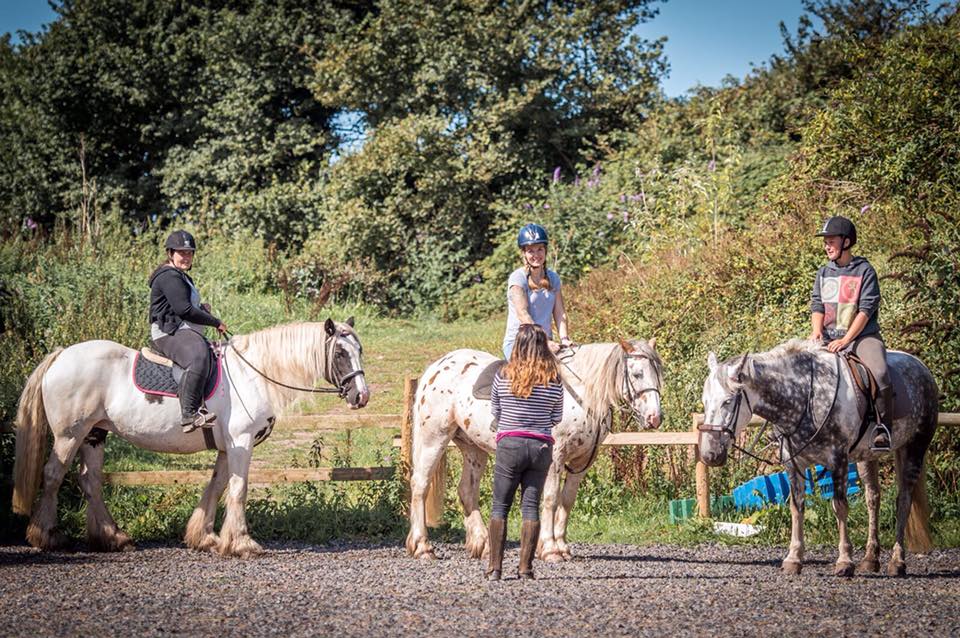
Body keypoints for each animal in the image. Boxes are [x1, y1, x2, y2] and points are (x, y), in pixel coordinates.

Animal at [13, 320, 370, 560]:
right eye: (340, 353)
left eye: (360, 350)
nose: (361, 396)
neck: (253, 374)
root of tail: (61, 356)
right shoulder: (241, 442)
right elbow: (238, 490)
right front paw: (242, 543)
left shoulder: (229, 446)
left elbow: (217, 485)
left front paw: (205, 537)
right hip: (69, 435)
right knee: (53, 475)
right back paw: (46, 535)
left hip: (94, 434)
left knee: (91, 481)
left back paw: (113, 537)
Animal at [404, 338, 660, 564]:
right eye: (637, 374)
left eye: (659, 374)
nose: (655, 418)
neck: (578, 395)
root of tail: (437, 367)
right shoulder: (555, 458)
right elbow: (550, 499)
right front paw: (550, 549)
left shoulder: (581, 462)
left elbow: (567, 500)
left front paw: (562, 546)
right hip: (434, 438)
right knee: (420, 486)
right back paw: (423, 547)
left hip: (473, 448)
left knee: (467, 490)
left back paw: (483, 545)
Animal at [696, 340, 936, 580]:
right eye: (705, 402)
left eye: (728, 401)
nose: (709, 455)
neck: (804, 398)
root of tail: (920, 366)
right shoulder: (793, 464)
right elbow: (796, 507)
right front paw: (793, 559)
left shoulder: (838, 459)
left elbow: (840, 506)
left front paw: (844, 561)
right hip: (867, 457)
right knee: (873, 498)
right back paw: (870, 559)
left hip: (914, 447)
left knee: (903, 500)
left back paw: (897, 561)